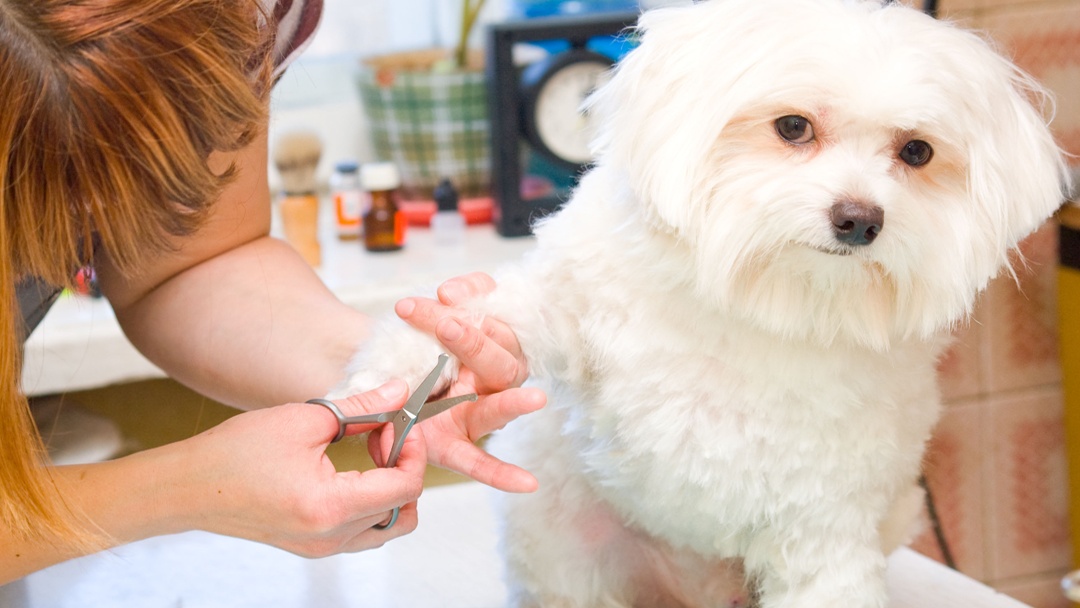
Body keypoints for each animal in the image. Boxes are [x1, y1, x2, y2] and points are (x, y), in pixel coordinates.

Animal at [332, 2, 1067, 604]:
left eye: (916, 151)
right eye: (793, 126)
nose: (860, 219)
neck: (763, 299)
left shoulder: (823, 525)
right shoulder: (577, 302)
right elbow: (494, 321)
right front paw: (396, 371)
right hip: (568, 554)